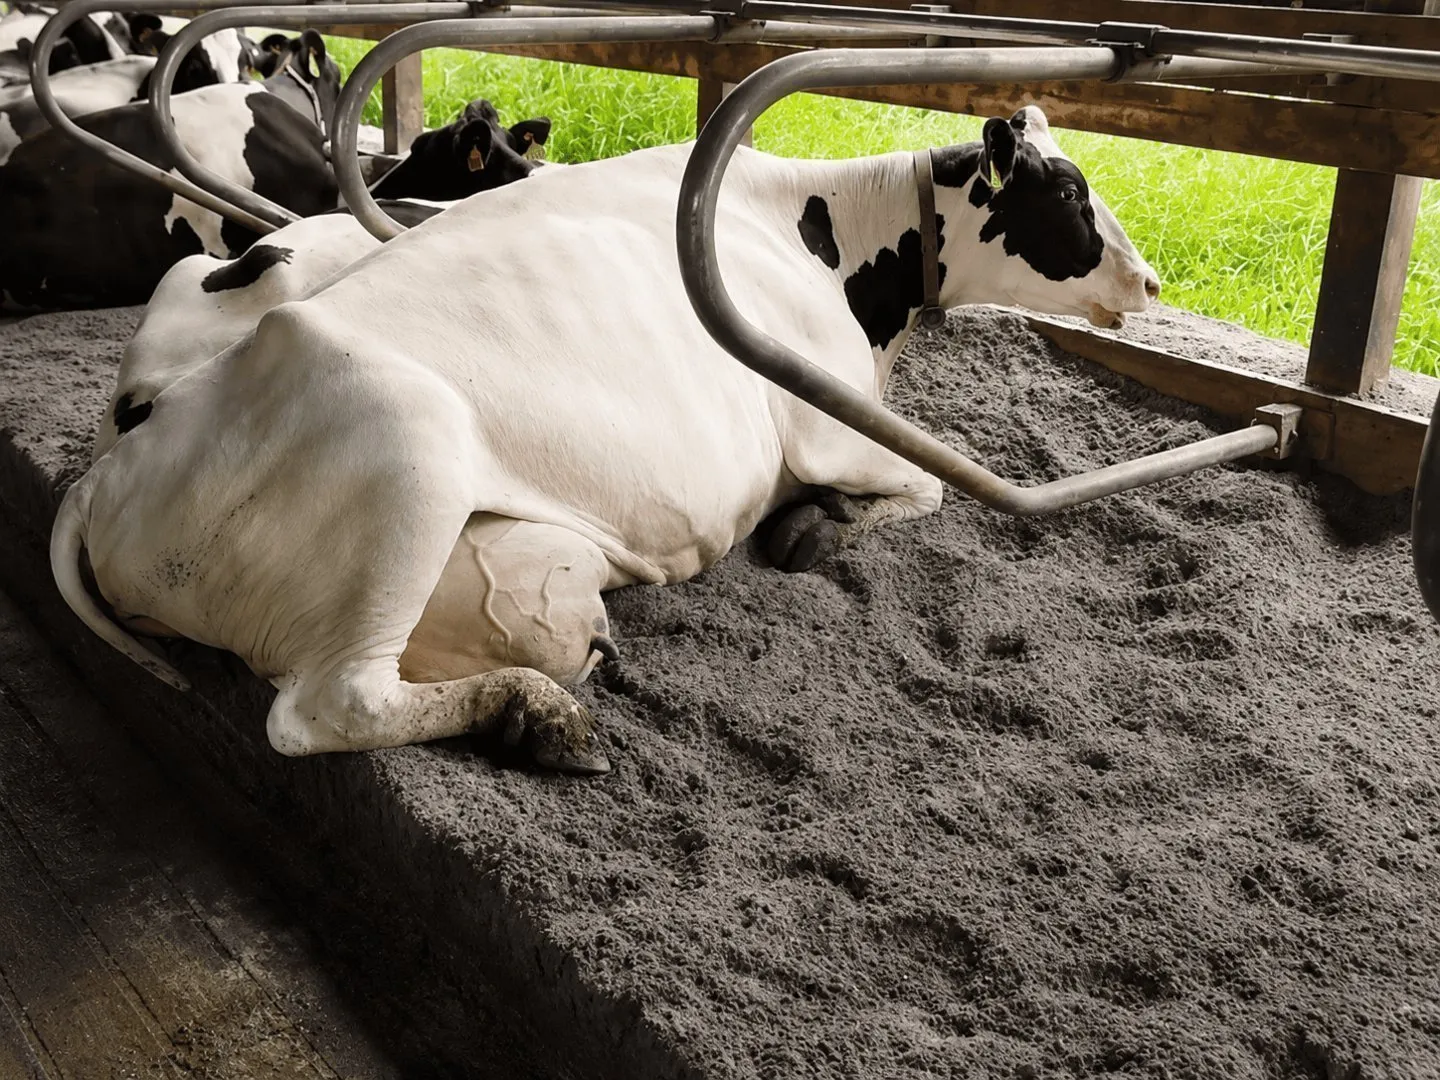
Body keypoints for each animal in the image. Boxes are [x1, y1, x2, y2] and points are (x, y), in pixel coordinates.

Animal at [53, 106, 1159, 774]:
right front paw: (815, 530)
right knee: (327, 707)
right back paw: (538, 715)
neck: (825, 242)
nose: (1150, 281)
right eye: (1068, 193)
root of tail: (113, 471)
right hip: (407, 445)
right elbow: (930, 489)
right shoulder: (828, 424)